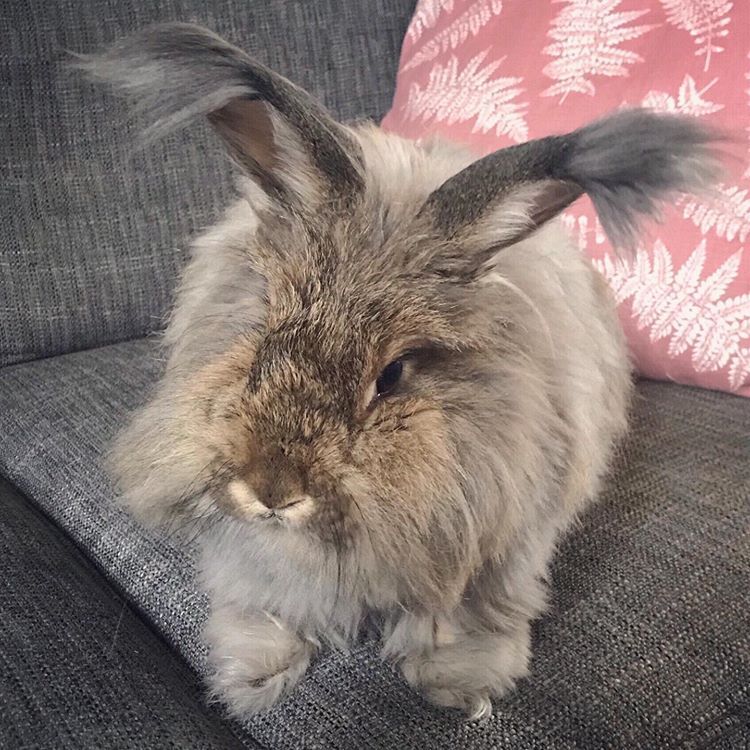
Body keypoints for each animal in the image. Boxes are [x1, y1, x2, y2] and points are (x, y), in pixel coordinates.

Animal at [82, 23, 722, 721]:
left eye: (391, 376)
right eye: (261, 328)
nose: (272, 491)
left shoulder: (495, 543)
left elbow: (463, 620)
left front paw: (461, 687)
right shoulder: (255, 558)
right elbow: (267, 605)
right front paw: (250, 677)